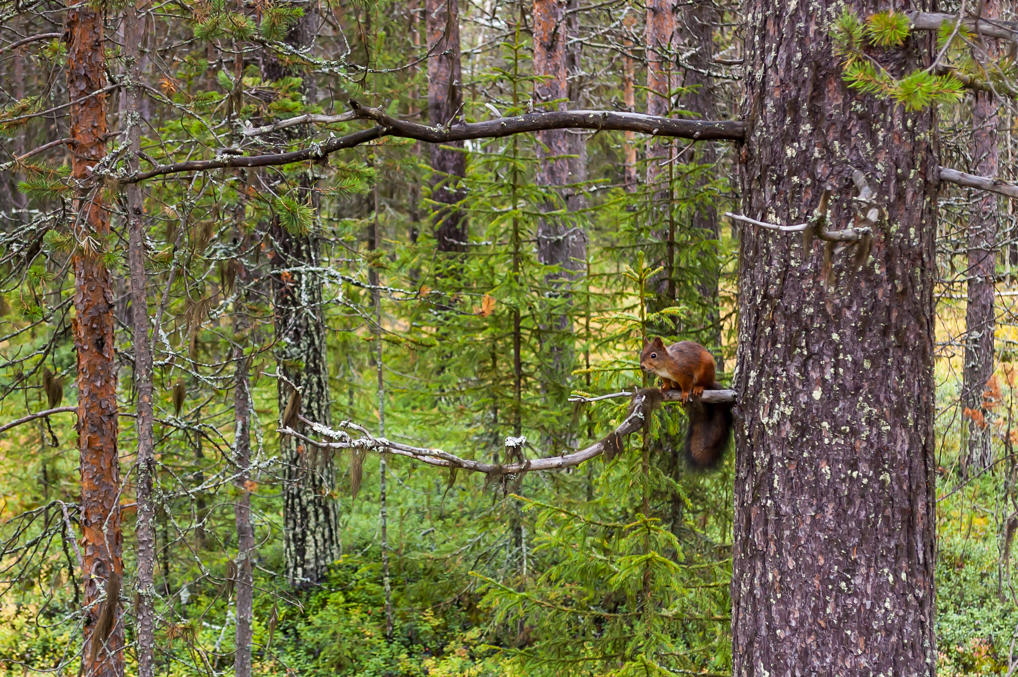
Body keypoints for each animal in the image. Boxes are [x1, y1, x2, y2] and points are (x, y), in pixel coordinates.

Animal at [635, 335, 732, 468]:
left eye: (653, 355)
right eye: (641, 353)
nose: (642, 366)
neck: (665, 365)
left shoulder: (686, 373)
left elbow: (686, 385)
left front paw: (685, 394)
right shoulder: (665, 376)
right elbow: (666, 381)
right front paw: (664, 388)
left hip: (706, 371)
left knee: (704, 384)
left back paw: (698, 388)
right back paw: (675, 388)